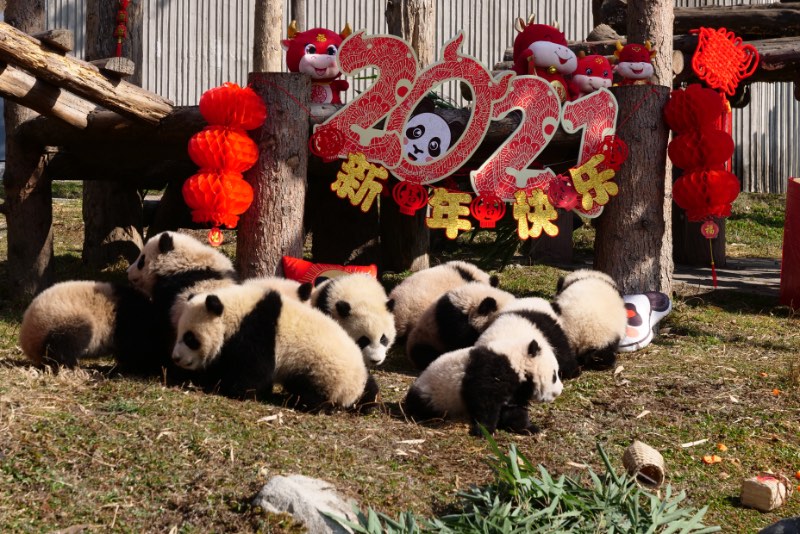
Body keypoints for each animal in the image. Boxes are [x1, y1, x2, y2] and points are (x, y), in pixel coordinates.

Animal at [172, 286, 378, 412]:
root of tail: (351, 391)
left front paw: (229, 387)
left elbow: (253, 373)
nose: (176, 358)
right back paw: (368, 400)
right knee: (370, 388)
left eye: (190, 338)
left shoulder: (256, 332)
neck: (235, 310)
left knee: (312, 395)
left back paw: (300, 401)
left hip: (322, 370)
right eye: (179, 333)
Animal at [404, 338, 564, 438]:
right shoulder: (490, 369)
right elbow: (484, 401)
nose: (559, 392)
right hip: (434, 393)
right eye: (554, 375)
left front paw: (529, 428)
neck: (516, 362)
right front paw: (485, 430)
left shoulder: (517, 390)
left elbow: (514, 409)